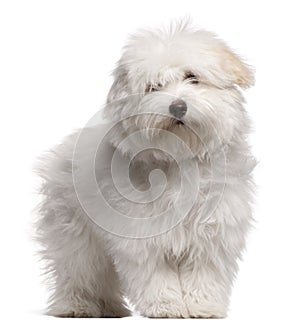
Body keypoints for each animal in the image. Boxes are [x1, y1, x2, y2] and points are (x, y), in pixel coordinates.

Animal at [35, 21, 255, 318]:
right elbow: (155, 274)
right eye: (154, 87)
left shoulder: (212, 231)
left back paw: (111, 308)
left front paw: (202, 306)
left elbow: (203, 272)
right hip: (74, 234)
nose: (178, 106)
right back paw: (77, 306)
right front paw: (166, 306)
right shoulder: (141, 235)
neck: (180, 158)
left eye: (192, 77)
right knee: (79, 272)